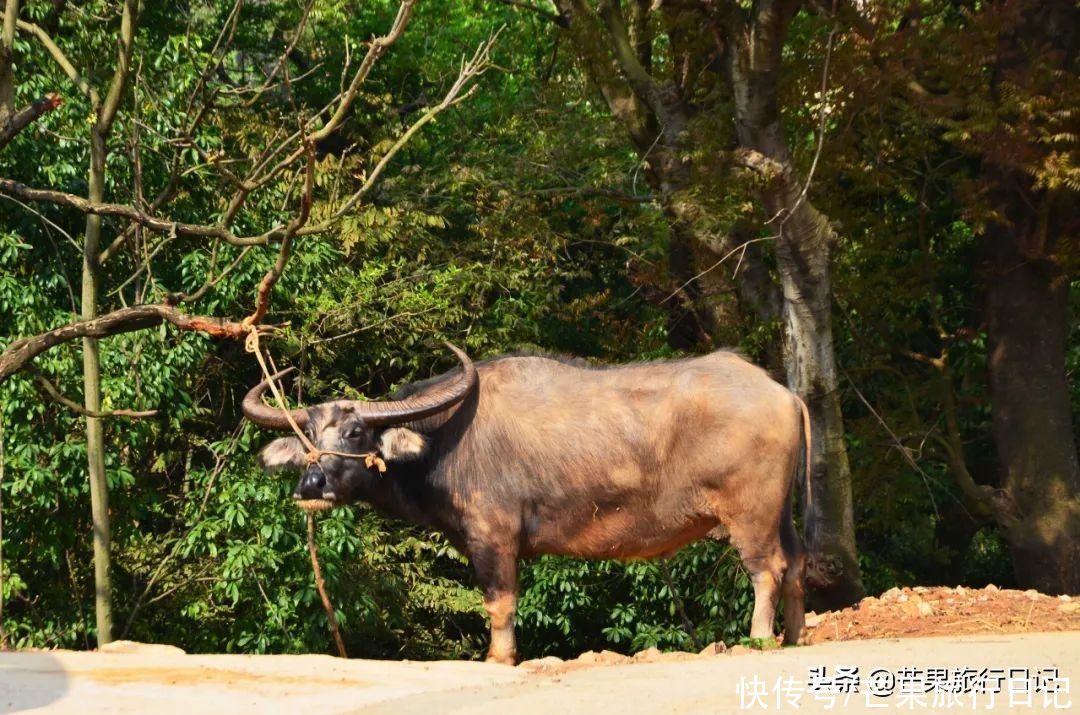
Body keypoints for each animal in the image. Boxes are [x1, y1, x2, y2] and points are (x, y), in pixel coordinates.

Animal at [245, 345, 812, 665]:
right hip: (782, 513)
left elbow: (499, 603)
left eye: (356, 431)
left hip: (751, 515)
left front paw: (500, 656)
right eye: (308, 434)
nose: (311, 482)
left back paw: (759, 638)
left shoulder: (493, 538)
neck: (447, 438)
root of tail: (780, 392)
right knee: (798, 564)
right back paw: (794, 637)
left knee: (767, 569)